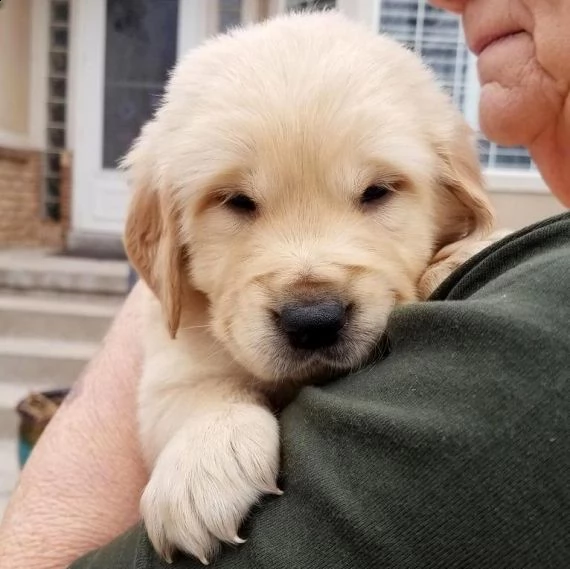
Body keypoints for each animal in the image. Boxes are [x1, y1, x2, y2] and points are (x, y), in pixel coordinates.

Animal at [123, 8, 496, 564]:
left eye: (377, 191)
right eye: (236, 201)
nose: (314, 321)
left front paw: (463, 254)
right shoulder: (170, 360)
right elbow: (202, 392)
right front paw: (202, 464)